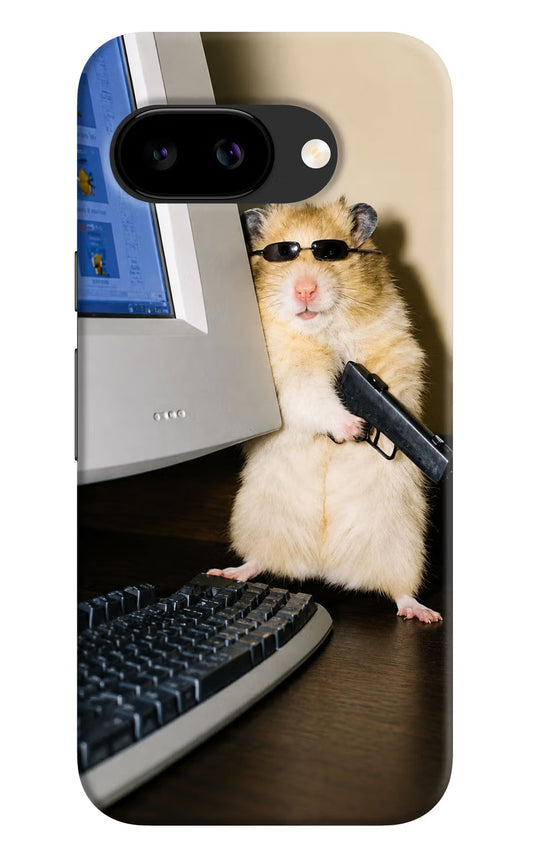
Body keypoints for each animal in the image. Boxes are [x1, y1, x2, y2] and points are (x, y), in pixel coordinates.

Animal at [208, 198, 442, 623]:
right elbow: (314, 397)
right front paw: (354, 428)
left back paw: (423, 613)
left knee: (399, 590)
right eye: (281, 254)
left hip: (403, 545)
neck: (321, 330)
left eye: (331, 253)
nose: (305, 289)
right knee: (259, 561)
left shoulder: (396, 350)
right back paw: (228, 572)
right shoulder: (288, 377)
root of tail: (325, 567)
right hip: (257, 522)